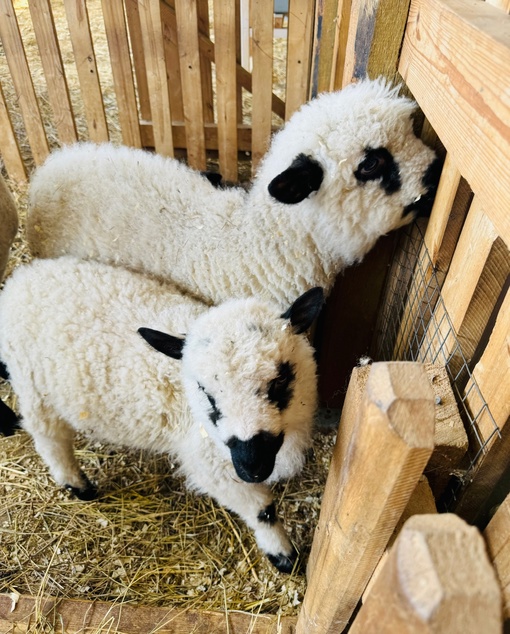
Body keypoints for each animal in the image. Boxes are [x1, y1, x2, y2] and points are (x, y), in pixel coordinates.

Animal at [0, 254, 322, 572]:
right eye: (206, 392)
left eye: (279, 380)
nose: (251, 466)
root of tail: (20, 279)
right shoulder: (209, 464)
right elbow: (262, 511)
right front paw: (283, 555)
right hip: (33, 387)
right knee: (49, 439)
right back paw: (76, 484)